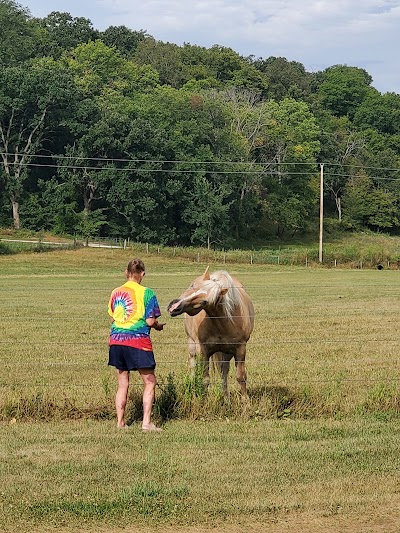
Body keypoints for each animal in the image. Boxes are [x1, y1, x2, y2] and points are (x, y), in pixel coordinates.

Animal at [167, 266, 255, 394]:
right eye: (193, 285)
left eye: (205, 301)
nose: (174, 307)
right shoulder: (203, 350)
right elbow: (205, 379)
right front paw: (203, 399)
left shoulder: (240, 349)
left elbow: (240, 377)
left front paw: (245, 399)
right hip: (192, 345)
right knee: (192, 369)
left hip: (226, 352)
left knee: (224, 371)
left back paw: (225, 396)